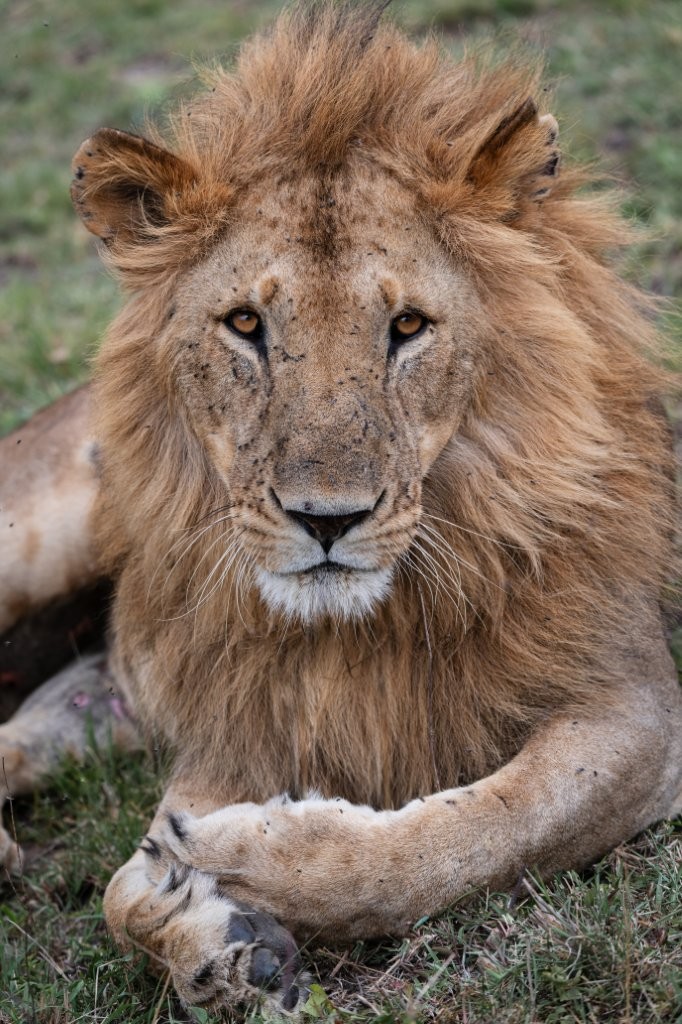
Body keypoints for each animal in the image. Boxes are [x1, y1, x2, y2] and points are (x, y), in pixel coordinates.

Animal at [0, 0, 680, 1013]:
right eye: (246, 324)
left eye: (408, 327)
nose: (327, 520)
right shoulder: (238, 720)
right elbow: (125, 894)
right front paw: (211, 932)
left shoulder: (637, 708)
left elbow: (477, 835)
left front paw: (240, 877)